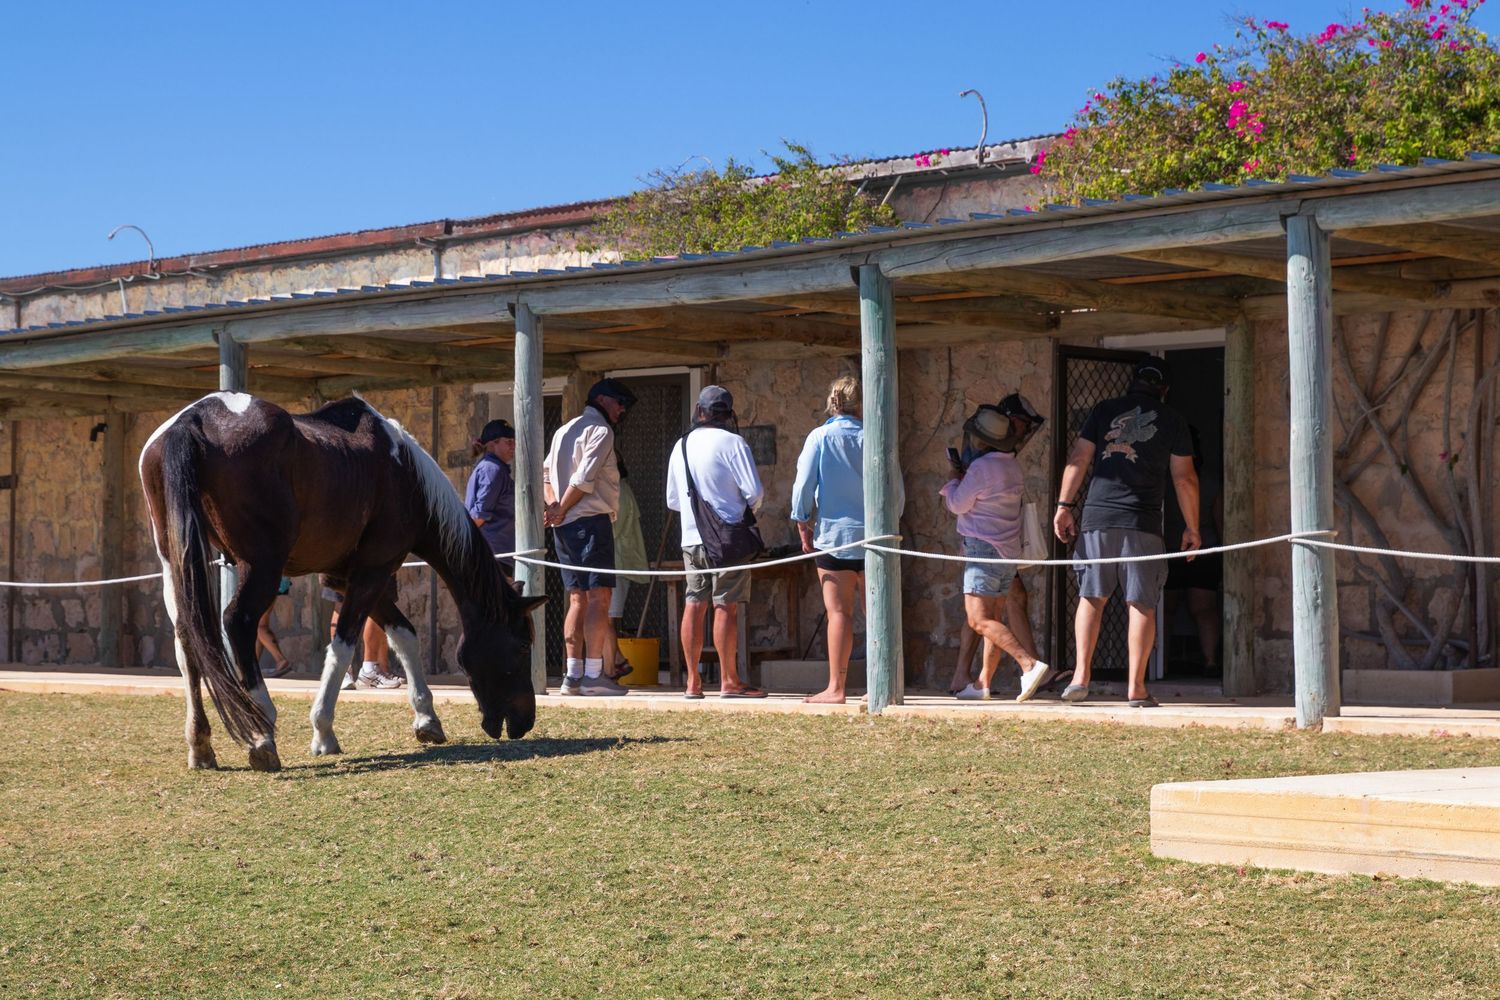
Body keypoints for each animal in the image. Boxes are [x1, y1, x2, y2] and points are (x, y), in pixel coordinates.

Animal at [138, 392, 544, 772]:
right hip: (261, 567)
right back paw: (262, 734)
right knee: (237, 622)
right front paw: (323, 732)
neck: (405, 475)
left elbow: (404, 634)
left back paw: (200, 743)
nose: (525, 721)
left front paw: (427, 718)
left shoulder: (354, 578)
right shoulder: (373, 571)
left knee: (188, 637)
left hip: (177, 563)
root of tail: (194, 419)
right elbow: (345, 644)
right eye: (523, 644)